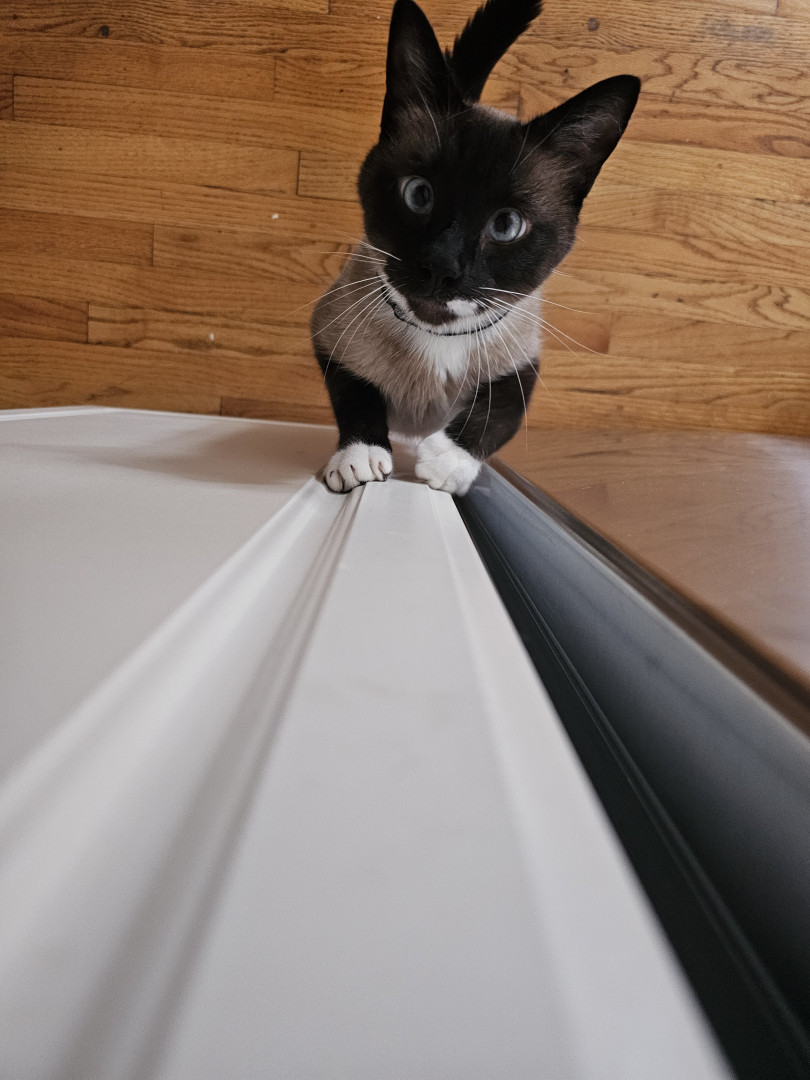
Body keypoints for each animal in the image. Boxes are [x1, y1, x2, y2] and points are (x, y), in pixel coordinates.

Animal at [311, 0, 639, 495]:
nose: (441, 266)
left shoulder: (522, 362)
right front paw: (360, 457)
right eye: (418, 195)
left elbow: (497, 413)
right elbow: (355, 391)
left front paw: (446, 462)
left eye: (505, 225)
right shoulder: (331, 331)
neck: (435, 336)